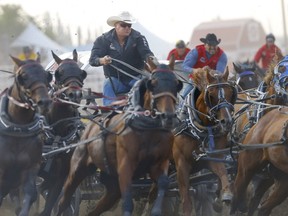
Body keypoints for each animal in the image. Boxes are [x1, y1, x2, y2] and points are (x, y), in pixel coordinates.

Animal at [0, 56, 52, 215]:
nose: (44, 101)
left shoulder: (31, 167)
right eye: (23, 76)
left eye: (46, 75)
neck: (18, 129)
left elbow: (29, 194)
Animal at [55, 57, 182, 216]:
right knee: (63, 201)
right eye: (152, 84)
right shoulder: (125, 166)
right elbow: (127, 202)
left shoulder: (159, 163)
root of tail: (91, 124)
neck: (147, 128)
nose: (168, 116)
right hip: (78, 169)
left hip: (112, 186)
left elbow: (163, 183)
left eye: (176, 84)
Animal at [172, 66, 237, 215]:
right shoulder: (181, 165)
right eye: (211, 96)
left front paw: (224, 196)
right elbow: (186, 202)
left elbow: (222, 172)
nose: (227, 122)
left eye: (231, 93)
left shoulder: (212, 158)